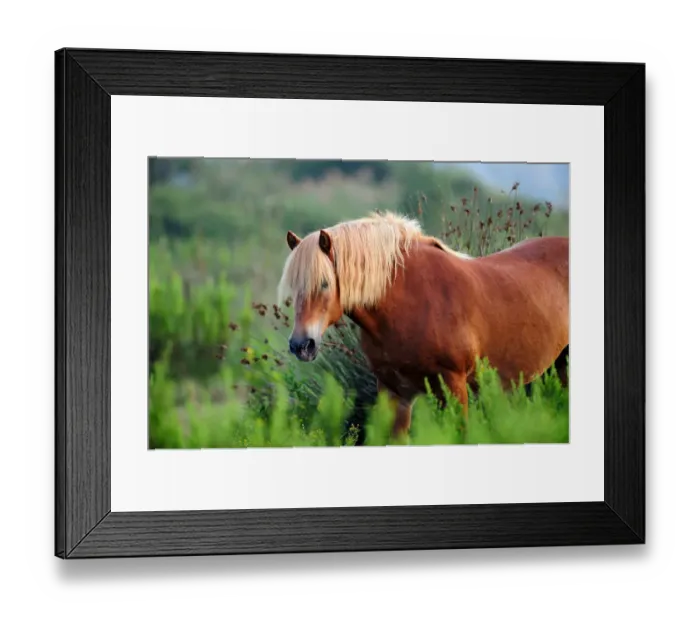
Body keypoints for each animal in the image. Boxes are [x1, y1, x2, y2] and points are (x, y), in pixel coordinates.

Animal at [278, 211, 569, 437]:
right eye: (294, 287)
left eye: (325, 284)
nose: (301, 345)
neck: (412, 302)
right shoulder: (394, 392)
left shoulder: (453, 385)